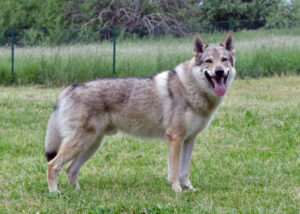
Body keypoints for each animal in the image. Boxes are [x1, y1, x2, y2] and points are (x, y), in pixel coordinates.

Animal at [45, 32, 237, 193]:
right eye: (208, 61)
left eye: (224, 60)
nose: (219, 71)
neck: (192, 87)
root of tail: (68, 89)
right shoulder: (175, 138)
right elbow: (175, 171)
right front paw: (177, 191)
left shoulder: (189, 139)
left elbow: (184, 171)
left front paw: (189, 189)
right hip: (81, 143)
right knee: (53, 165)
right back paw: (55, 193)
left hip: (91, 144)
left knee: (70, 169)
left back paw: (77, 192)